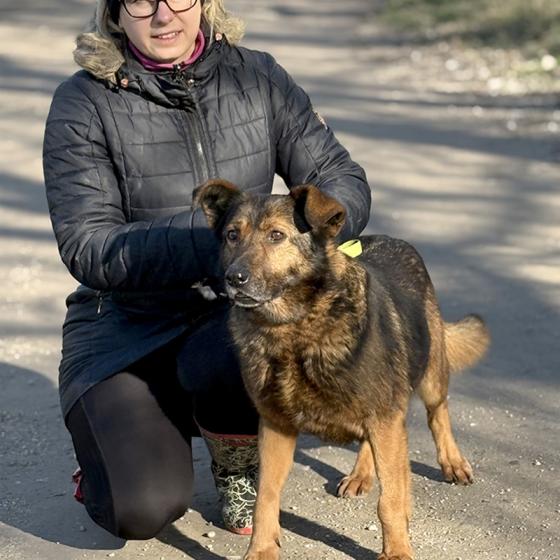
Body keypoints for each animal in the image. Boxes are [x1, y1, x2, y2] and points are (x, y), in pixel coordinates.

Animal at [194, 179, 490, 560]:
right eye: (232, 235)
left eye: (277, 235)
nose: (235, 278)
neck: (295, 329)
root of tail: (395, 239)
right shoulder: (276, 427)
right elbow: (266, 498)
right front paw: (260, 550)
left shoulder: (385, 418)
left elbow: (391, 500)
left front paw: (397, 551)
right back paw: (362, 472)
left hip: (428, 376)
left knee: (438, 414)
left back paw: (452, 462)